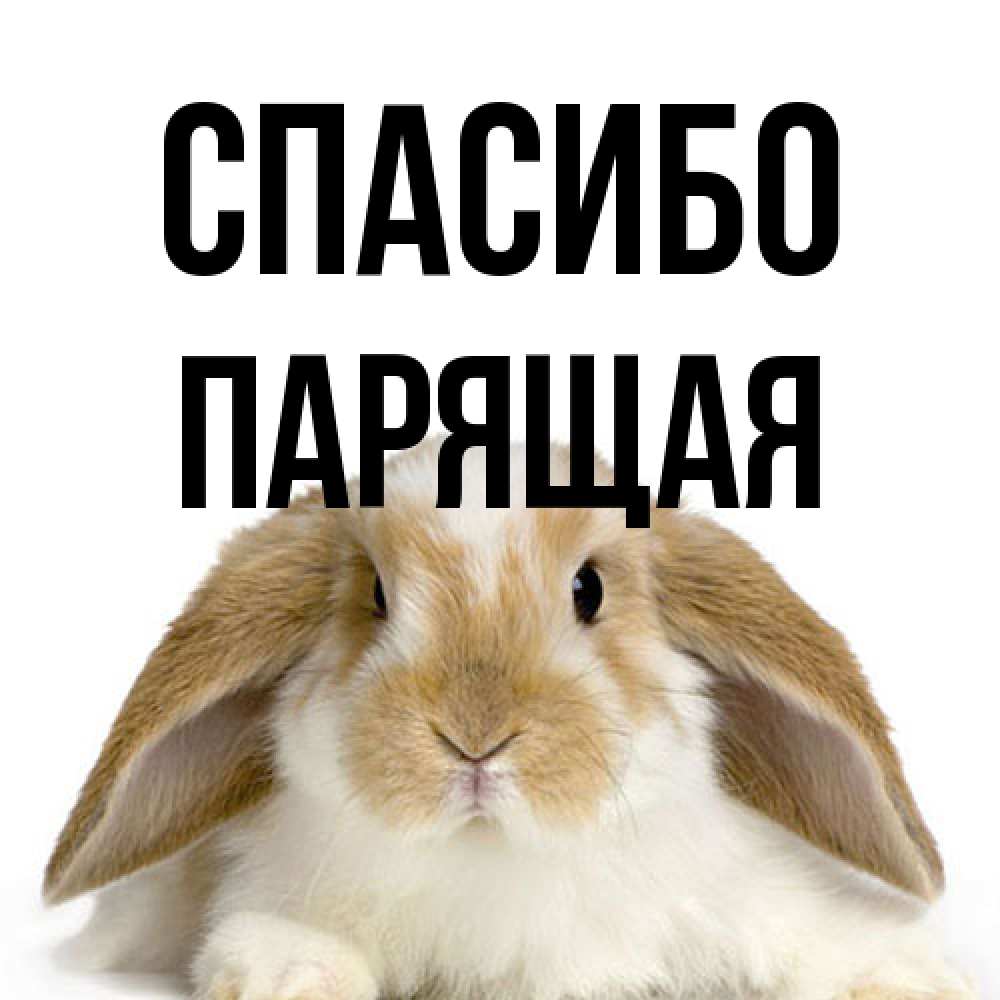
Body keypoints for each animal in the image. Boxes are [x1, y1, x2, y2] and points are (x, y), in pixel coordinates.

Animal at [45, 441, 975, 1000]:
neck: (495, 858)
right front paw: (289, 976)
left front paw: (908, 978)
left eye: (589, 589)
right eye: (376, 595)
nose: (475, 737)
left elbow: (816, 939)